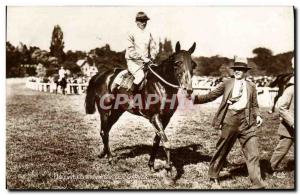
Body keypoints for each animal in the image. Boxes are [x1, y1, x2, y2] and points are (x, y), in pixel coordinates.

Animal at [85, 41, 197, 174]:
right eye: (177, 63)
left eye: (193, 65)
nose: (188, 89)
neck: (161, 85)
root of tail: (100, 75)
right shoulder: (155, 117)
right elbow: (166, 142)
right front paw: (168, 168)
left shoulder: (166, 118)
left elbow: (157, 141)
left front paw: (151, 165)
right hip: (105, 111)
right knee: (104, 132)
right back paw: (110, 159)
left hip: (117, 111)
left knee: (106, 130)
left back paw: (103, 153)